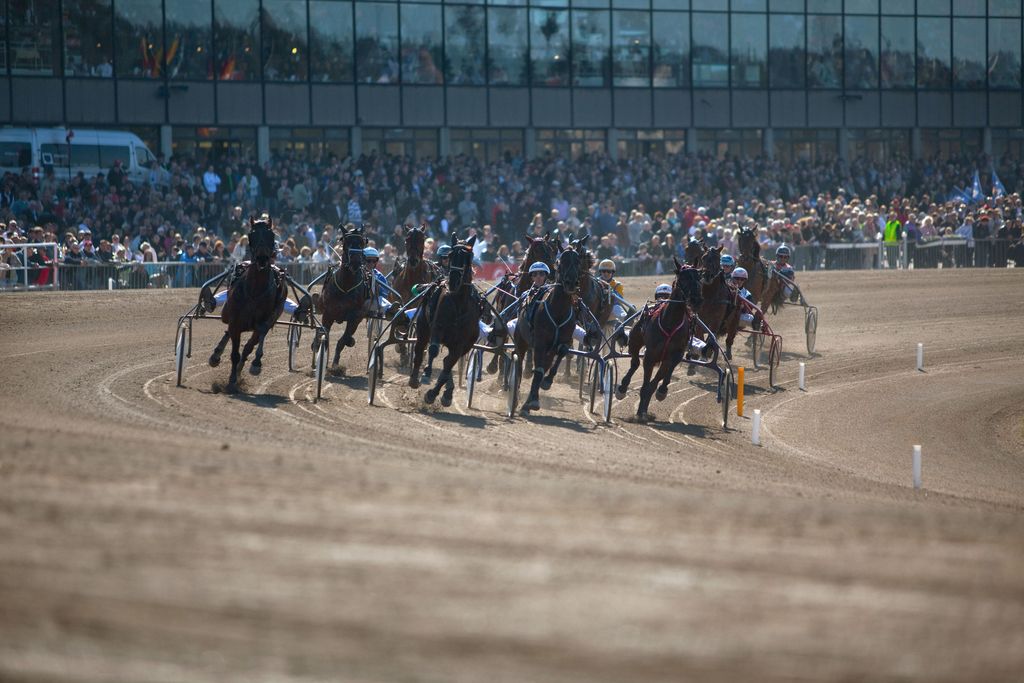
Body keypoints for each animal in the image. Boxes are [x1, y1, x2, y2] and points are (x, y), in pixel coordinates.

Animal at [207, 216, 286, 393]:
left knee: (250, 345)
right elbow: (234, 352)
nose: (262, 258)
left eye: (271, 234)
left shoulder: (262, 322)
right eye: (252, 234)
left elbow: (251, 345)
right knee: (227, 331)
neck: (254, 290)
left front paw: (252, 366)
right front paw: (231, 380)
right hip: (227, 314)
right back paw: (216, 355)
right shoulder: (235, 321)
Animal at [319, 224, 372, 368]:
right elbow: (325, 335)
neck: (346, 286)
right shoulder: (328, 313)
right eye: (346, 242)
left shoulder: (356, 317)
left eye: (362, 242)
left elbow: (343, 340)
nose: (355, 262)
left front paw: (335, 365)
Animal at [407, 235, 483, 405]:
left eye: (468, 257)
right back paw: (415, 378)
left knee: (447, 361)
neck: (459, 303)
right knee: (420, 349)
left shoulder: (461, 343)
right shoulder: (437, 328)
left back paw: (448, 390)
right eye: (451, 255)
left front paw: (436, 394)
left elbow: (448, 367)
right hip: (423, 327)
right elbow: (434, 350)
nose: (453, 281)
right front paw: (426, 374)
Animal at [614, 259, 704, 421]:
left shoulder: (672, 355)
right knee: (635, 362)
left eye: (699, 277)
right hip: (635, 341)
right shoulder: (650, 356)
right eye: (682, 278)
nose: (696, 300)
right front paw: (639, 413)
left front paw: (651, 402)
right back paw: (623, 388)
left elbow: (654, 383)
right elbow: (645, 384)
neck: (670, 322)